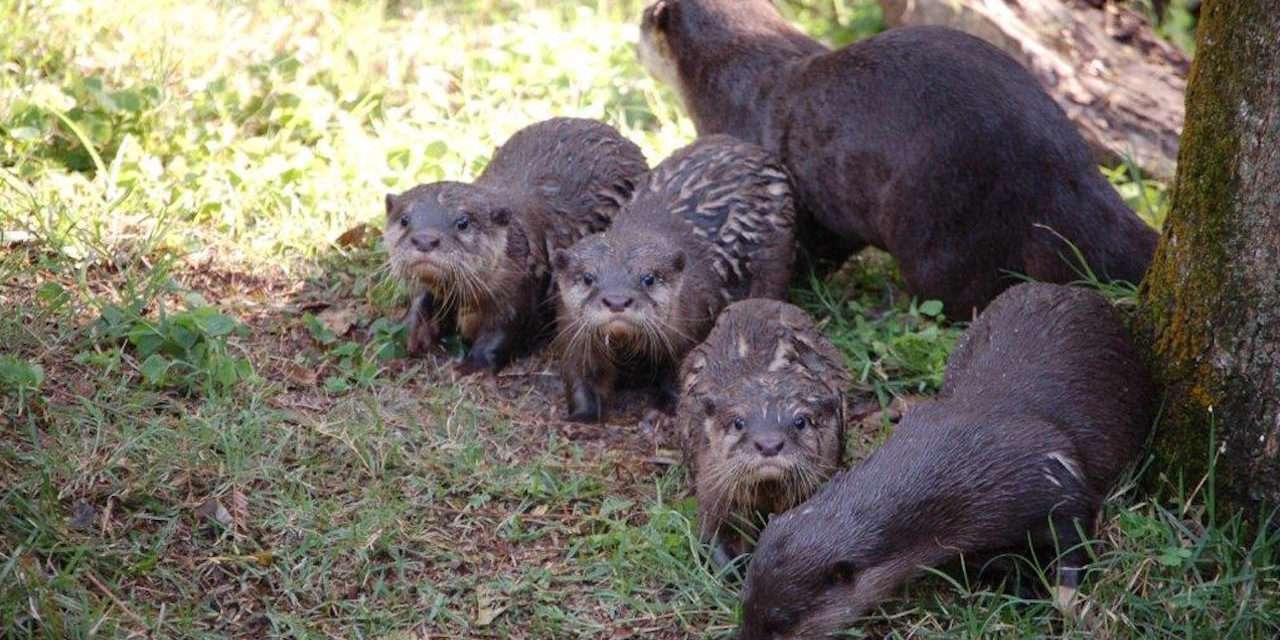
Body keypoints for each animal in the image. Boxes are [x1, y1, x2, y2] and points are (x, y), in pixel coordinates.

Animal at [381, 117, 645, 373]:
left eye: (462, 222)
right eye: (404, 219)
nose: (424, 240)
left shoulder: (520, 287)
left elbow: (504, 329)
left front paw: (472, 366)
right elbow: (421, 299)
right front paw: (409, 334)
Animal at [555, 135, 793, 422]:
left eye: (648, 278)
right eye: (588, 277)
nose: (617, 301)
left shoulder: (691, 329)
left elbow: (682, 376)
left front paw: (661, 413)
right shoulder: (574, 335)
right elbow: (581, 375)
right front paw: (581, 416)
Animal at [737, 285, 1157, 640]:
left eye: (779, 623)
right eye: (745, 605)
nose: (745, 636)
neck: (967, 460)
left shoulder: (1051, 474)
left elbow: (1076, 530)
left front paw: (1066, 596)